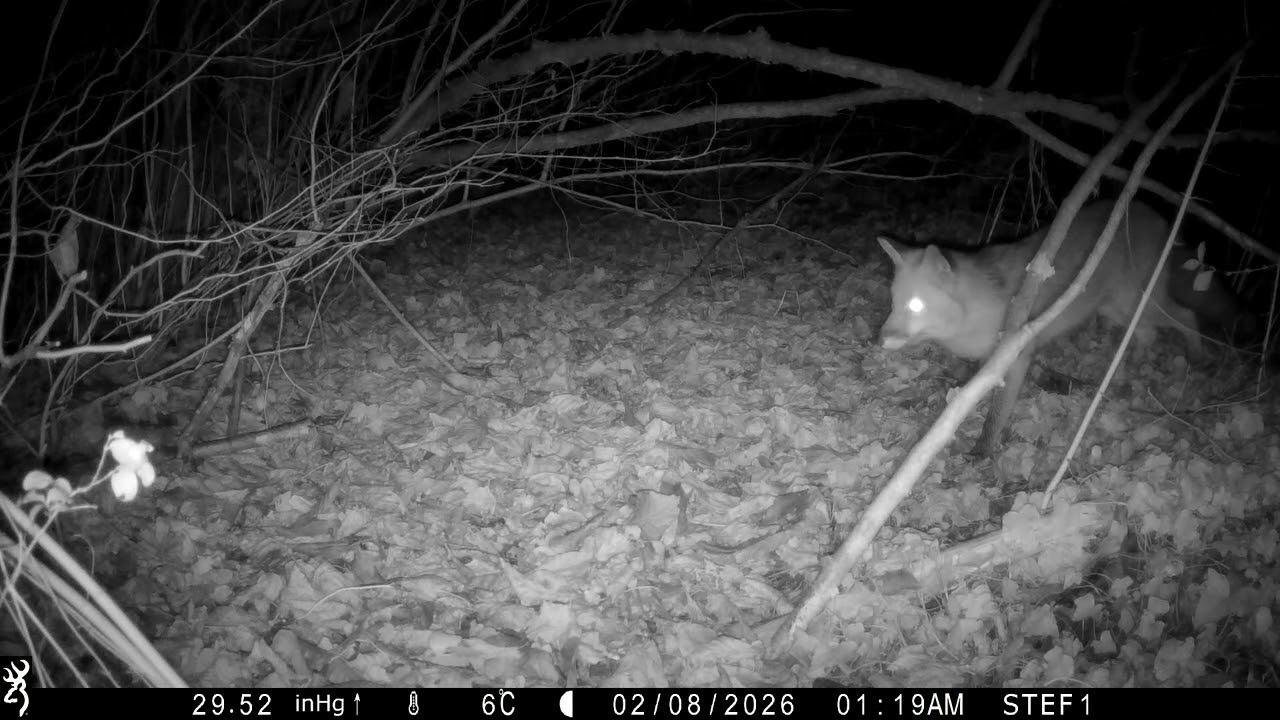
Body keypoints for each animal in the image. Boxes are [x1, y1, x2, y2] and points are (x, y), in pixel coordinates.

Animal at [875, 199, 1246, 456]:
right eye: (893, 302)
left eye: (916, 306)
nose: (879, 340)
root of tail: (1150, 212)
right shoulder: (986, 362)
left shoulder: (1015, 359)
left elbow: (996, 415)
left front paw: (983, 454)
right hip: (1118, 310)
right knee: (1147, 335)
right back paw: (1127, 372)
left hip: (1141, 302)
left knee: (1187, 317)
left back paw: (1196, 355)